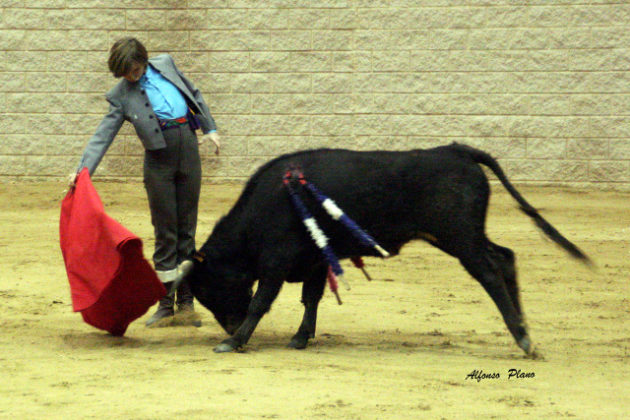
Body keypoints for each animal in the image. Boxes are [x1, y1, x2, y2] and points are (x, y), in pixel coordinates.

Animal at [179, 144, 592, 354]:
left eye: (207, 290)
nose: (228, 325)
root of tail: (457, 150)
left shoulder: (276, 263)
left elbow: (261, 302)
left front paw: (234, 341)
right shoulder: (316, 260)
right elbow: (311, 299)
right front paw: (300, 337)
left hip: (460, 238)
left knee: (490, 271)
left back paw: (522, 338)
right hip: (465, 236)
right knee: (505, 258)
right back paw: (524, 331)